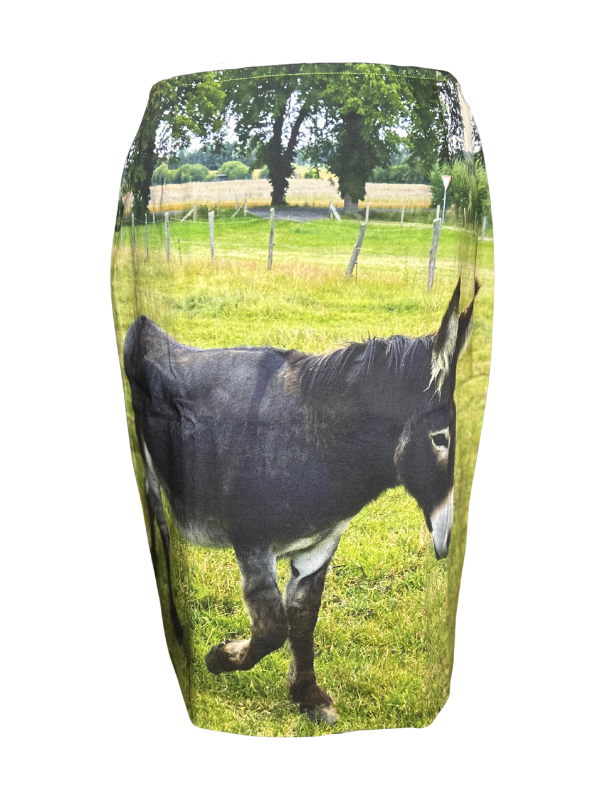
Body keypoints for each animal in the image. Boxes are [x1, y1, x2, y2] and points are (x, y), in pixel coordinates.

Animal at [123, 279, 478, 724]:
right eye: (440, 439)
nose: (446, 543)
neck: (314, 441)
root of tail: (145, 325)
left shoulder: (318, 547)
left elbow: (303, 620)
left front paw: (307, 697)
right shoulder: (252, 543)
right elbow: (272, 629)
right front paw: (219, 657)